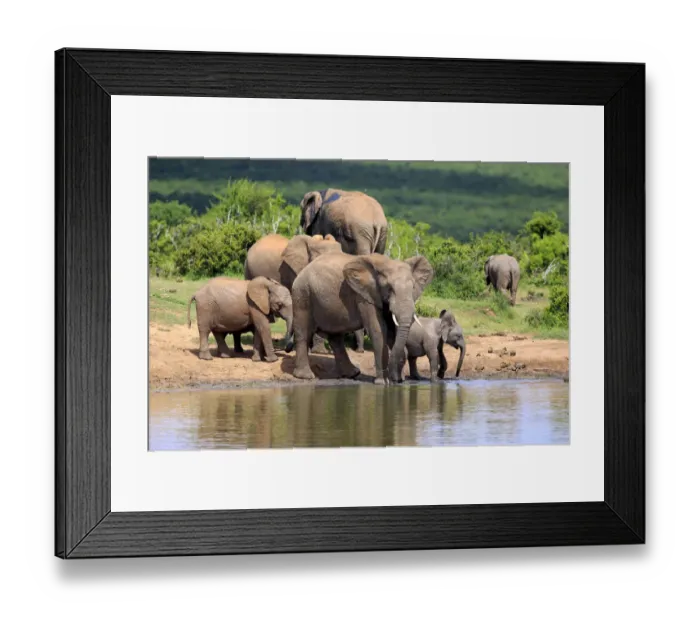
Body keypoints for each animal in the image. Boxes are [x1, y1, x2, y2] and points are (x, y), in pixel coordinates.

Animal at [288, 253, 434, 384]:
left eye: (413, 288)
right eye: (389, 288)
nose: (396, 379)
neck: (386, 263)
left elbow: (393, 331)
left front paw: (398, 380)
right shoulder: (364, 296)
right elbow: (378, 330)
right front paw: (382, 383)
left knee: (335, 338)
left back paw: (352, 374)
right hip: (302, 294)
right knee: (303, 333)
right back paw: (305, 376)